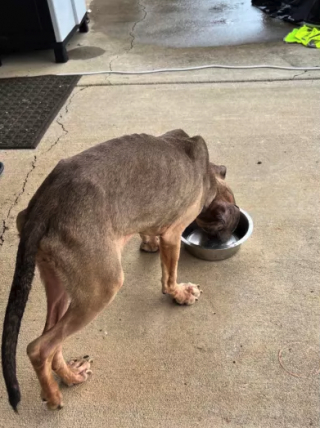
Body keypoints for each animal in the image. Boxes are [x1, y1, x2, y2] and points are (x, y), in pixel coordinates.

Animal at [1, 130, 238, 412]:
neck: (206, 173)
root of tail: (44, 205)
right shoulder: (173, 235)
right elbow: (169, 277)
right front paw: (180, 293)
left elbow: (147, 231)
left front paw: (149, 243)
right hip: (101, 290)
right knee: (39, 348)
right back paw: (54, 396)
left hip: (60, 284)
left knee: (52, 341)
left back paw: (69, 376)